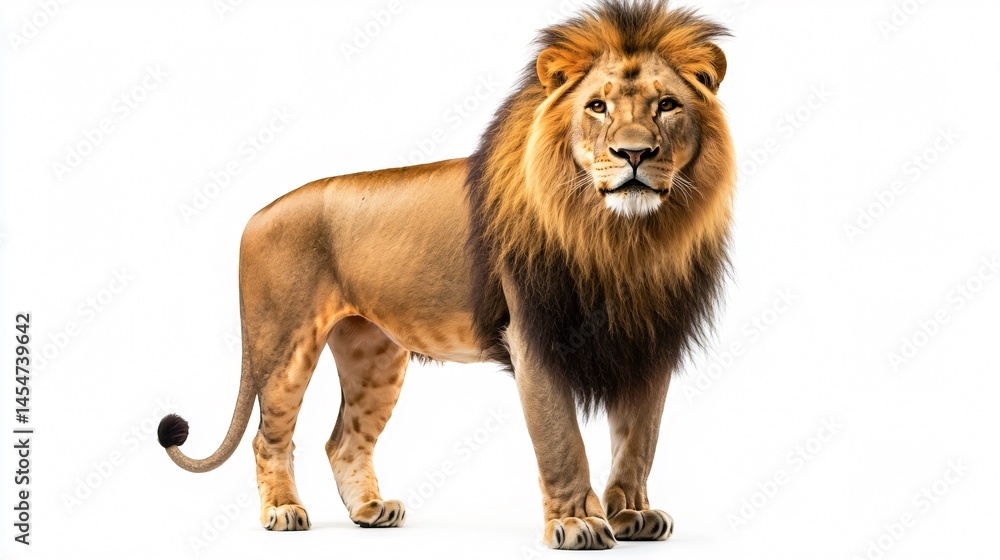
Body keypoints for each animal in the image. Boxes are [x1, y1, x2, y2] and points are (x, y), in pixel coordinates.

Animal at [158, 0, 735, 550]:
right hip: (284, 344)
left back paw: (371, 511)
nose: (634, 153)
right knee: (270, 435)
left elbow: (640, 441)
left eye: (667, 105)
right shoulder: (531, 336)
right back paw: (282, 511)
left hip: (375, 356)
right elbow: (561, 441)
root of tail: (256, 215)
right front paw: (577, 523)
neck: (622, 239)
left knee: (343, 439)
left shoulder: (650, 341)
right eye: (597, 106)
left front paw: (632, 514)